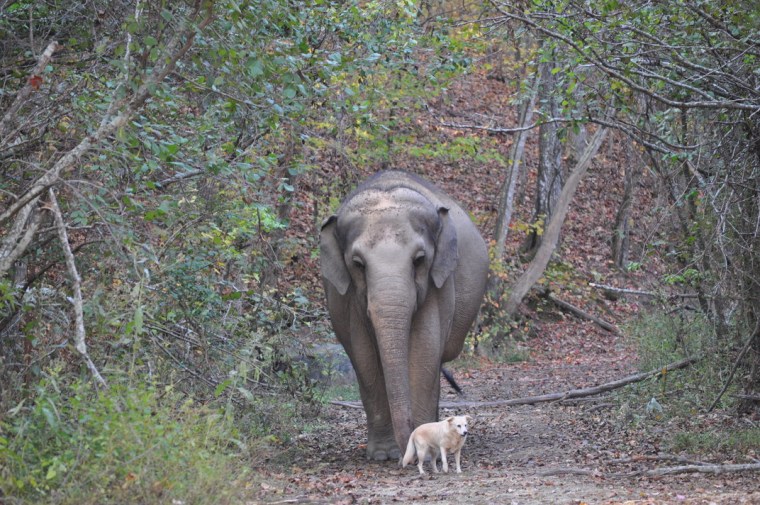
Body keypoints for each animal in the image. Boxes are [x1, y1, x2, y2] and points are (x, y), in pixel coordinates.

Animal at [320, 171, 486, 458]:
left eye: (419, 260)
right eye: (358, 264)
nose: (407, 443)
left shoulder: (439, 285)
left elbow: (424, 349)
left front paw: (424, 445)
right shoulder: (348, 296)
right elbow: (363, 355)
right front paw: (383, 455)